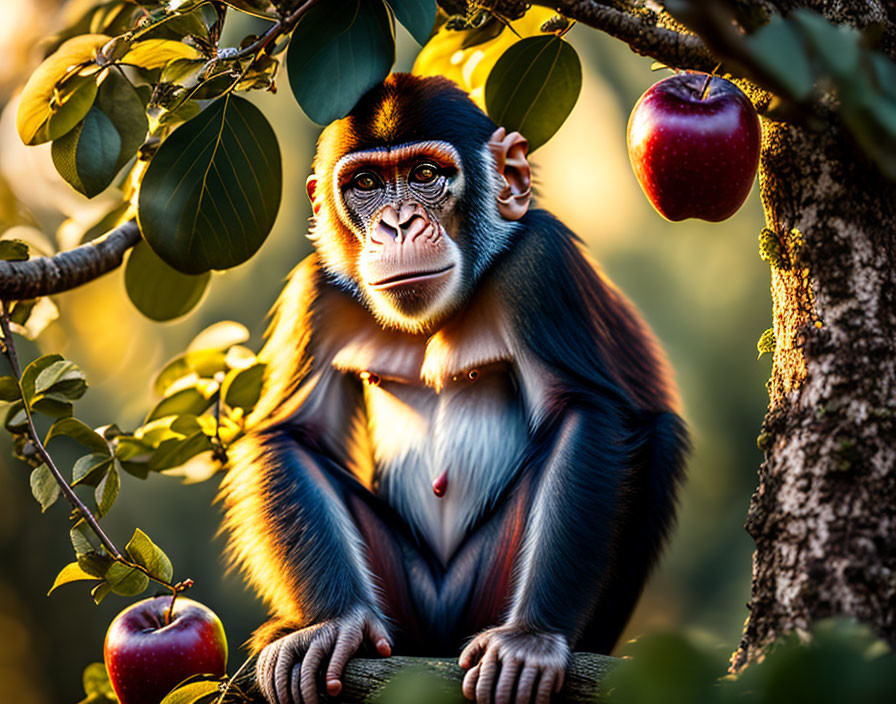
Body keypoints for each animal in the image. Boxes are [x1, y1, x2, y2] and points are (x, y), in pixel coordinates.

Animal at [219, 73, 688, 704]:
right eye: (365, 184)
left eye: (424, 174)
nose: (397, 223)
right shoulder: (316, 294)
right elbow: (293, 430)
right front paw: (331, 624)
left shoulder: (542, 265)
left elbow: (586, 412)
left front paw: (531, 640)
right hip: (406, 607)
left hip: (478, 596)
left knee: (657, 433)